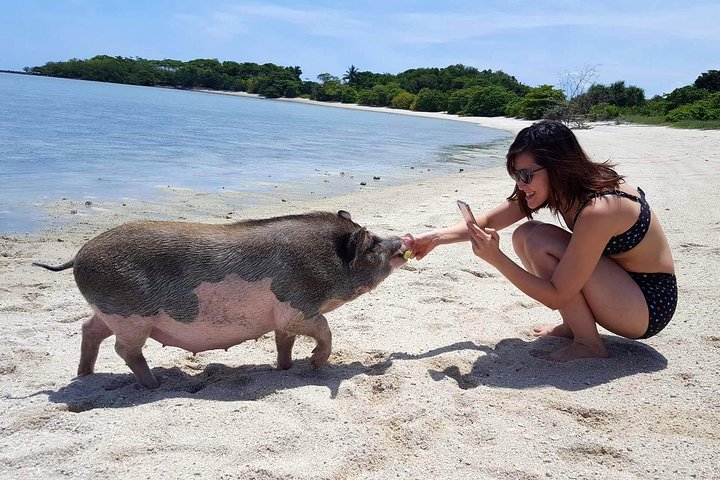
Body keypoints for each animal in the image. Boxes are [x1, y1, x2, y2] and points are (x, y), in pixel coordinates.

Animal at [33, 211, 411, 388]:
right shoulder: (298, 308)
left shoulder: (283, 318)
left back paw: (84, 375)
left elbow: (284, 342)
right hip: (130, 317)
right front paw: (316, 365)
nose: (402, 240)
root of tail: (78, 256)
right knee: (124, 349)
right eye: (373, 244)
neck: (325, 262)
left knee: (90, 329)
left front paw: (284, 369)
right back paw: (155, 384)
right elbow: (325, 329)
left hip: (109, 313)